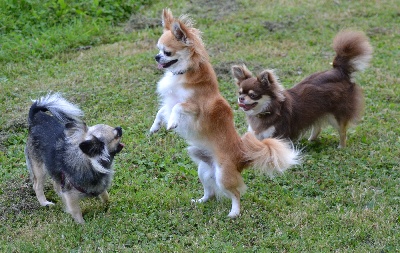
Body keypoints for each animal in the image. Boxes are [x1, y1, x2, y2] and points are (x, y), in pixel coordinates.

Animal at [150, 7, 300, 217]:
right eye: (158, 49)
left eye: (167, 52)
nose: (156, 57)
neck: (183, 74)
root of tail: (242, 158)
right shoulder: (170, 101)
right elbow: (161, 111)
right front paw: (154, 127)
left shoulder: (195, 107)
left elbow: (177, 108)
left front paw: (172, 123)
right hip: (203, 170)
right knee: (211, 192)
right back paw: (200, 201)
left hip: (223, 175)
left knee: (235, 193)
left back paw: (234, 213)